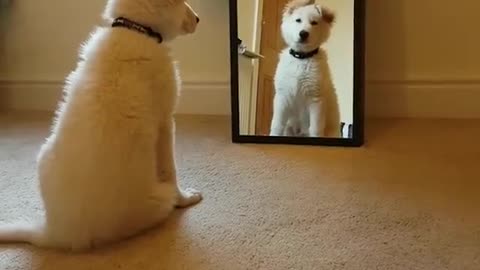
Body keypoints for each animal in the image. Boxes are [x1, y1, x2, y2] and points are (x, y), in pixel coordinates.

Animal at [0, 0, 202, 251]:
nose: (198, 19)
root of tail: (56, 233)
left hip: (43, 155)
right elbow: (171, 171)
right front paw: (187, 198)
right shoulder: (166, 122)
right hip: (160, 199)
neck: (136, 28)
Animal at [270, 0, 342, 138]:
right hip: (289, 128)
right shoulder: (282, 96)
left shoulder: (316, 99)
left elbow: (315, 129)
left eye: (314, 23)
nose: (303, 33)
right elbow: (277, 124)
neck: (301, 58)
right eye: (298, 20)